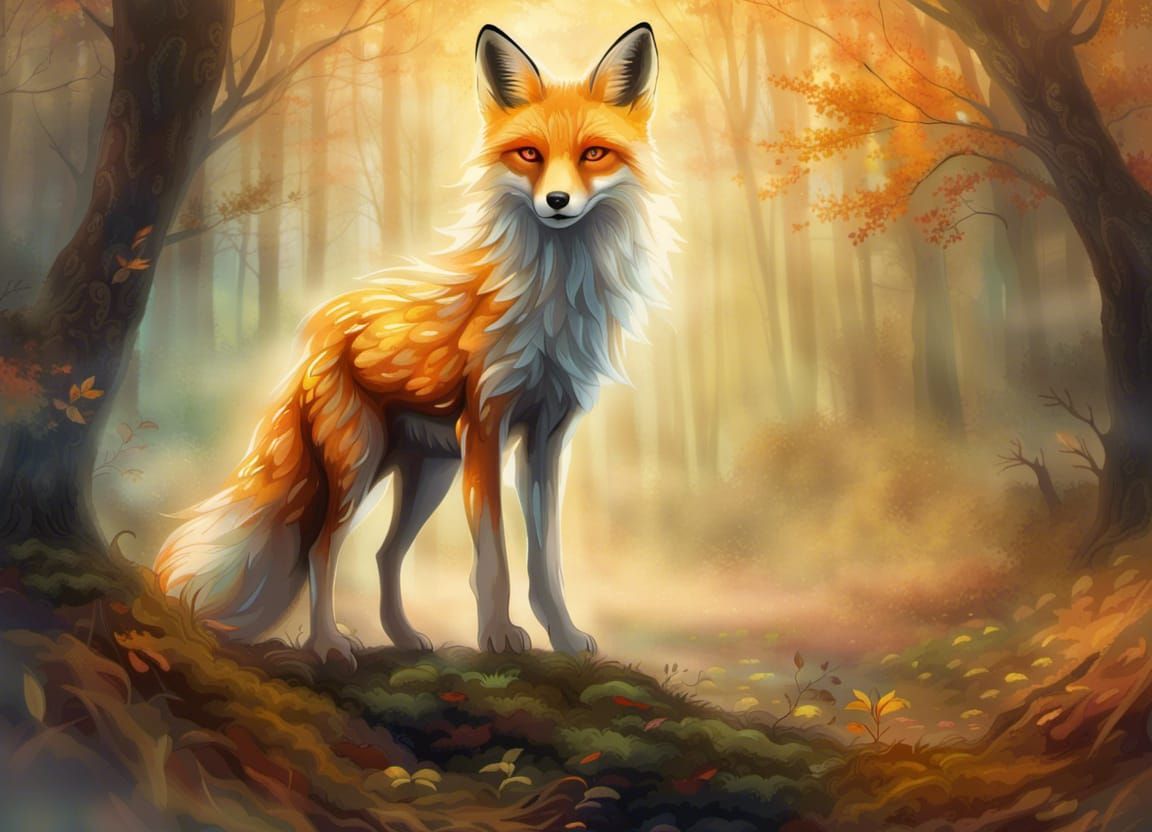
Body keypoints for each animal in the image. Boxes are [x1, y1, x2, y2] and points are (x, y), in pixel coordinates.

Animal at [155, 22, 675, 665]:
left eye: (593, 154)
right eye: (529, 154)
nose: (557, 202)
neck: (551, 300)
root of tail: (314, 335)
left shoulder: (547, 440)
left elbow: (545, 562)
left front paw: (565, 637)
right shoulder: (486, 426)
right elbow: (493, 559)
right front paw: (498, 637)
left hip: (426, 473)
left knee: (383, 554)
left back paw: (404, 639)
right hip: (359, 464)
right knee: (321, 550)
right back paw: (328, 643)